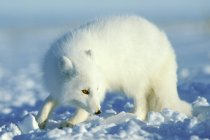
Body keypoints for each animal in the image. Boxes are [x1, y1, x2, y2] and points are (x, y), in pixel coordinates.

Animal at [36, 15, 192, 128]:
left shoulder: (102, 85)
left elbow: (83, 110)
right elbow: (48, 101)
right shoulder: (57, 86)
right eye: (84, 91)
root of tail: (165, 45)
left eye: (96, 89)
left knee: (142, 104)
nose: (98, 112)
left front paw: (71, 122)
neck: (75, 53)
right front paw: (40, 120)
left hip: (132, 82)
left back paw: (131, 116)